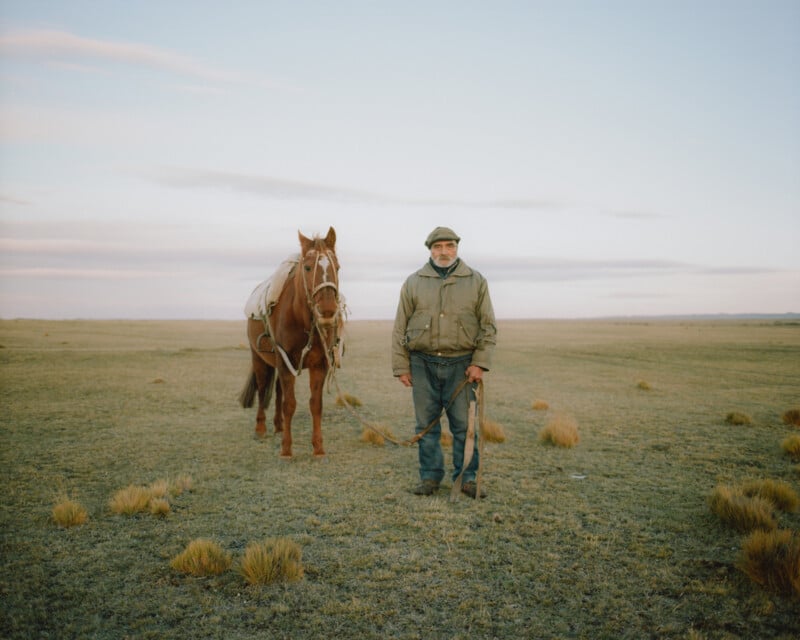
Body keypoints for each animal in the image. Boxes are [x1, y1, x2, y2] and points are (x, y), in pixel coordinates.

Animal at [242, 228, 346, 458]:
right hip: (259, 359)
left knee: (278, 390)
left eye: (337, 267)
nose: (327, 311)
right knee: (262, 390)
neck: (302, 320)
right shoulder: (284, 360)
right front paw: (286, 449)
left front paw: (318, 447)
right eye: (307, 267)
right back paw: (260, 428)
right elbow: (290, 404)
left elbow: (315, 404)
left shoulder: (319, 364)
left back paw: (279, 425)